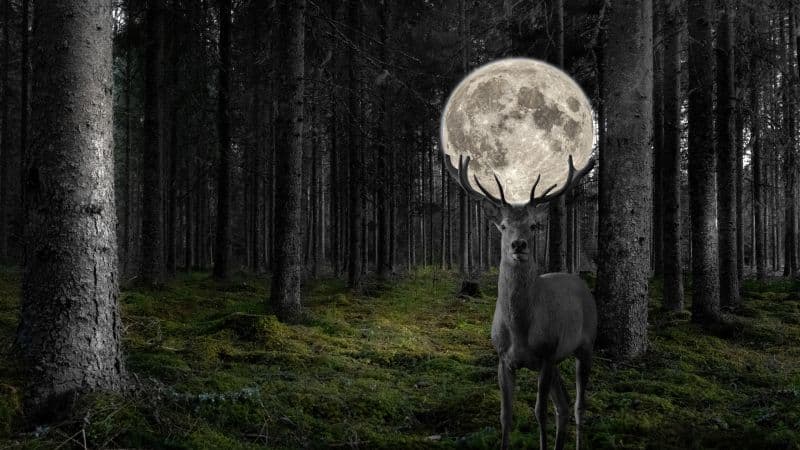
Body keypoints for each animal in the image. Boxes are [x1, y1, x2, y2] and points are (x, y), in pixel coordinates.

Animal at [445, 153, 597, 450]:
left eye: (534, 226)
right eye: (503, 226)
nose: (519, 245)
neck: (520, 328)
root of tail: (581, 283)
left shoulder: (547, 353)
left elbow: (539, 411)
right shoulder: (504, 359)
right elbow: (505, 415)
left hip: (585, 345)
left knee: (578, 406)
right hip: (558, 359)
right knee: (562, 405)